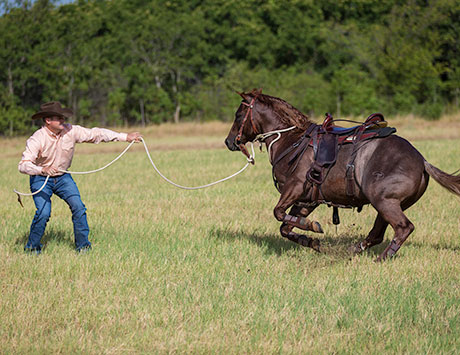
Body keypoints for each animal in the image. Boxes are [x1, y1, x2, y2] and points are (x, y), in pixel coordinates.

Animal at [225, 89, 458, 262]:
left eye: (238, 115)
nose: (229, 142)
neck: (291, 140)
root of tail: (422, 161)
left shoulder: (295, 188)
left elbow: (278, 213)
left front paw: (313, 227)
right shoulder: (307, 200)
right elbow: (285, 227)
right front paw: (312, 241)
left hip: (384, 201)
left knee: (403, 228)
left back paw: (381, 258)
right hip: (387, 205)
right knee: (377, 234)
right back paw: (352, 251)